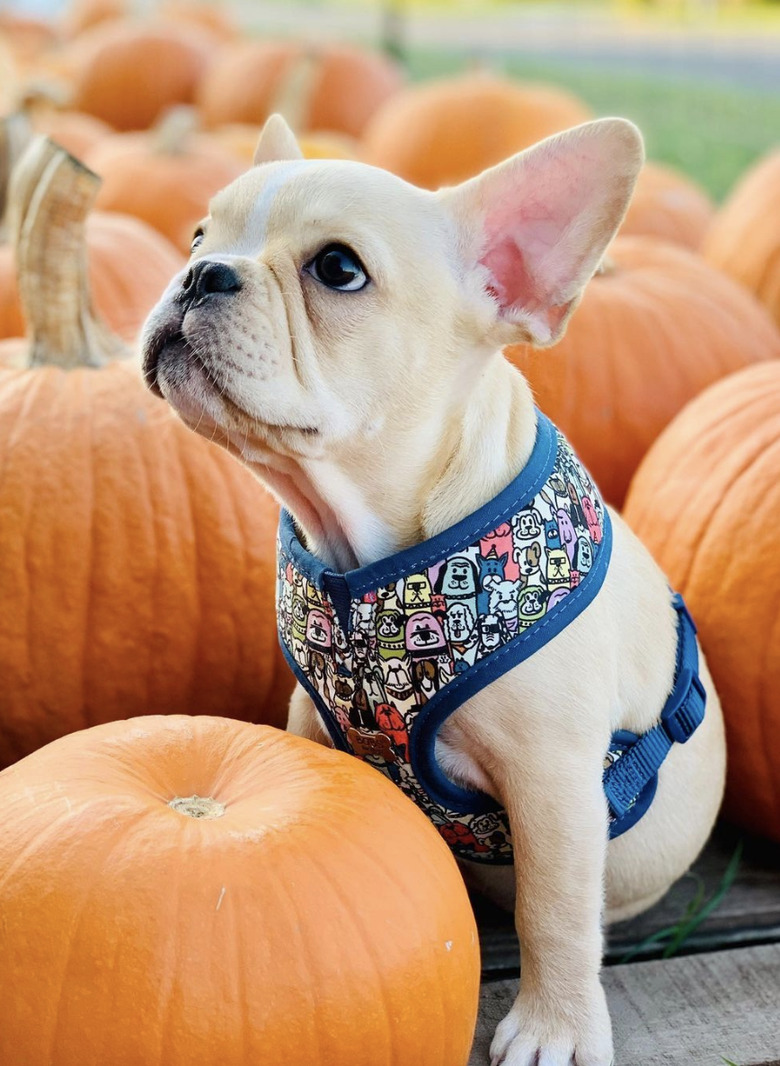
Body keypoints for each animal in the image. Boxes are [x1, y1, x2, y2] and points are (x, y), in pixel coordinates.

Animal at [141, 116, 724, 1066]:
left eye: (338, 269)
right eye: (197, 236)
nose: (201, 272)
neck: (370, 559)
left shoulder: (555, 781)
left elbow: (554, 909)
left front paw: (557, 1026)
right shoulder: (317, 721)